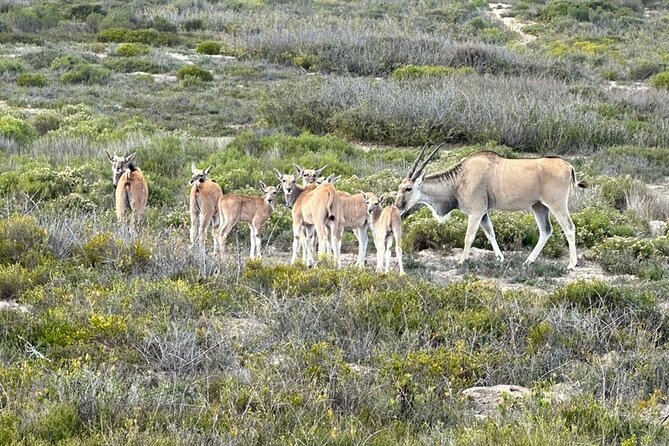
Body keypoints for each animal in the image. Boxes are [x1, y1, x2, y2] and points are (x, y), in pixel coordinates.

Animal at [394, 145, 588, 269]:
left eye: (408, 188)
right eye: (400, 187)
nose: (397, 206)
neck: (459, 179)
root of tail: (567, 165)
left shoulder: (476, 212)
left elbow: (469, 237)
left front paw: (461, 262)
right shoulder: (484, 213)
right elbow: (491, 233)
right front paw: (500, 259)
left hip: (557, 205)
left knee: (569, 228)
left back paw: (571, 265)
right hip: (539, 207)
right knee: (546, 231)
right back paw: (528, 262)